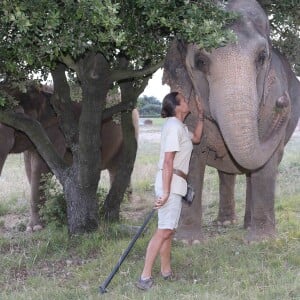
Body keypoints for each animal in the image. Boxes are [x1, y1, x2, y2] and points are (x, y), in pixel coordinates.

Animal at [0, 84, 138, 232]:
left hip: (129, 131)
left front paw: (35, 228)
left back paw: (125, 203)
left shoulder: (55, 129)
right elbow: (29, 168)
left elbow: (41, 167)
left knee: (121, 165)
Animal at [163, 0, 300, 243]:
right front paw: (189, 242)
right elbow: (191, 156)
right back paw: (225, 223)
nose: (283, 101)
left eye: (262, 57)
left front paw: (262, 240)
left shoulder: (270, 92)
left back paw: (247, 226)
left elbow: (265, 164)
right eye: (200, 61)